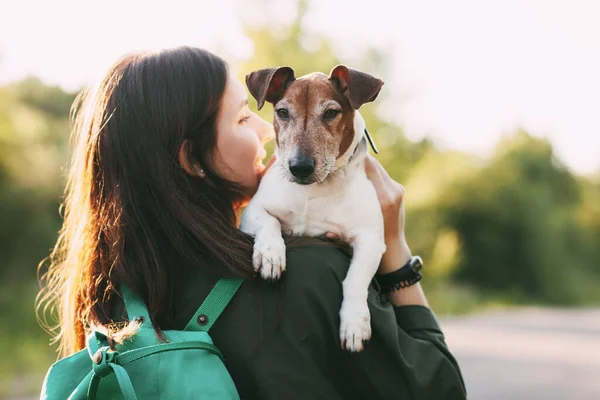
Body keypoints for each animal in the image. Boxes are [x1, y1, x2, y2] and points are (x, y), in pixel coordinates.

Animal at [237, 64, 386, 352]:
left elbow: (355, 278)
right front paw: (271, 255)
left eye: (330, 113)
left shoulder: (371, 239)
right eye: (283, 112)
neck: (313, 190)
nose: (300, 167)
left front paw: (354, 323)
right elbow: (269, 223)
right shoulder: (253, 211)